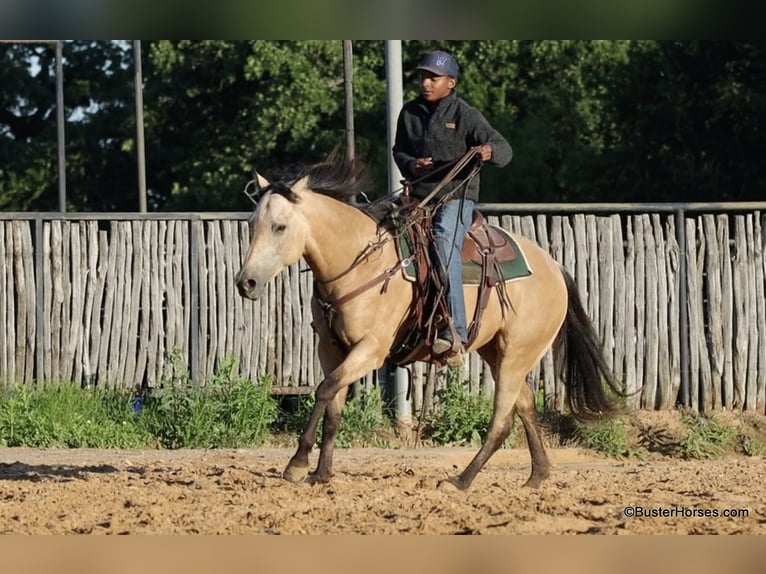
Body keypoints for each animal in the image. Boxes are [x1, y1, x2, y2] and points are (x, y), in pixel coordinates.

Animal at [235, 151, 621, 490]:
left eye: (280, 226)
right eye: (253, 224)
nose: (246, 283)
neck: (359, 260)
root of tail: (554, 267)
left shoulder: (370, 350)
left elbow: (325, 390)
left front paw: (297, 464)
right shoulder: (331, 348)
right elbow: (333, 406)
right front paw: (320, 474)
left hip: (519, 353)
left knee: (502, 419)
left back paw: (461, 481)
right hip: (497, 352)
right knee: (524, 405)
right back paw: (537, 475)